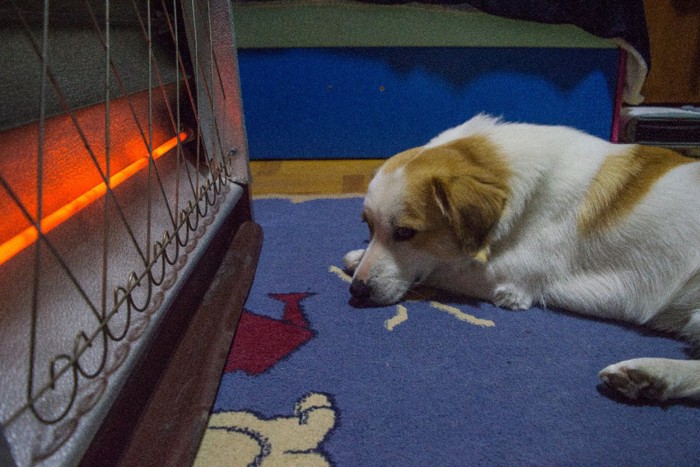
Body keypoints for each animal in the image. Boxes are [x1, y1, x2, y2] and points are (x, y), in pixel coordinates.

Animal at [344, 115, 700, 404]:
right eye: (368, 225)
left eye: (405, 233)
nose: (356, 291)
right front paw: (358, 255)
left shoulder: (507, 281)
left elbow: (442, 266)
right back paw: (649, 380)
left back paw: (650, 374)